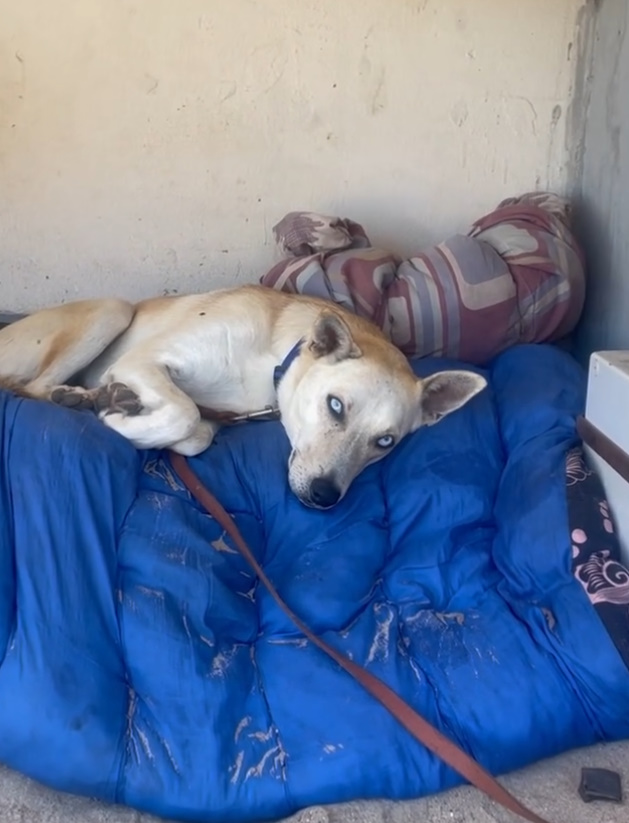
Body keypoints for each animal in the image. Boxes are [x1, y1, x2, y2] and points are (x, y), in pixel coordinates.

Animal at [0, 288, 486, 508]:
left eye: (385, 442)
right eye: (335, 405)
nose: (325, 496)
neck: (271, 363)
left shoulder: (218, 414)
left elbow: (197, 433)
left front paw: (131, 414)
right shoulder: (145, 361)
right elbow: (183, 411)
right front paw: (116, 418)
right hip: (112, 309)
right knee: (35, 387)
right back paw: (81, 397)